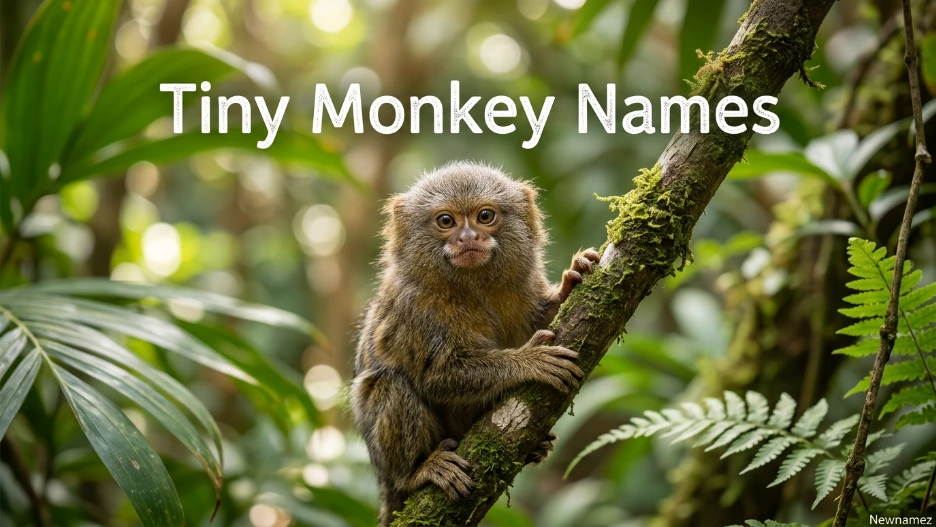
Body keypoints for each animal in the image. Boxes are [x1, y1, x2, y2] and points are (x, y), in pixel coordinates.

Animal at [350, 161, 599, 526]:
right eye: (446, 221)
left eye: (485, 216)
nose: (468, 238)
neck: (472, 287)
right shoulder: (415, 309)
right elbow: (436, 377)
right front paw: (530, 361)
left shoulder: (523, 285)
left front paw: (570, 282)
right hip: (386, 463)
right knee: (388, 385)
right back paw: (416, 472)